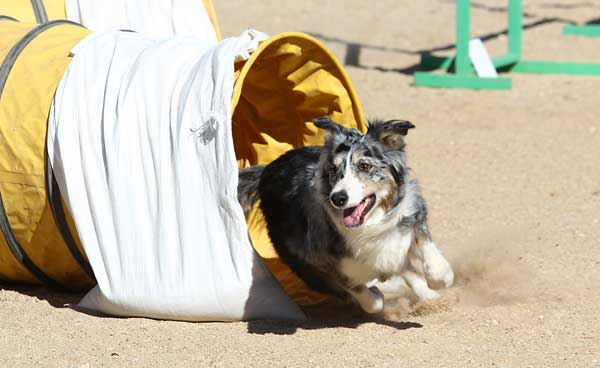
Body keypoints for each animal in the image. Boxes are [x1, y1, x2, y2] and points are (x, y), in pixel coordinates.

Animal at [237, 118, 452, 314]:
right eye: (333, 169)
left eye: (364, 166)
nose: (337, 198)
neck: (370, 225)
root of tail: (267, 170)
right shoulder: (324, 266)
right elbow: (370, 301)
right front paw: (378, 293)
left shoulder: (412, 212)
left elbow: (432, 257)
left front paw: (436, 283)